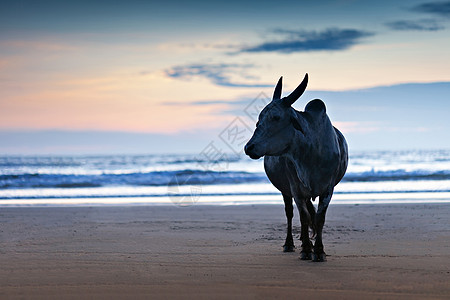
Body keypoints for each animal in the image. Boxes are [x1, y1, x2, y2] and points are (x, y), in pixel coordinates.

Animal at [244, 74, 346, 262]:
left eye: (276, 117)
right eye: (259, 118)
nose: (249, 147)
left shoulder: (328, 189)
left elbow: (319, 218)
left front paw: (318, 250)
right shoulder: (295, 188)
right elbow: (304, 217)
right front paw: (306, 249)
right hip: (286, 190)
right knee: (290, 213)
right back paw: (290, 243)